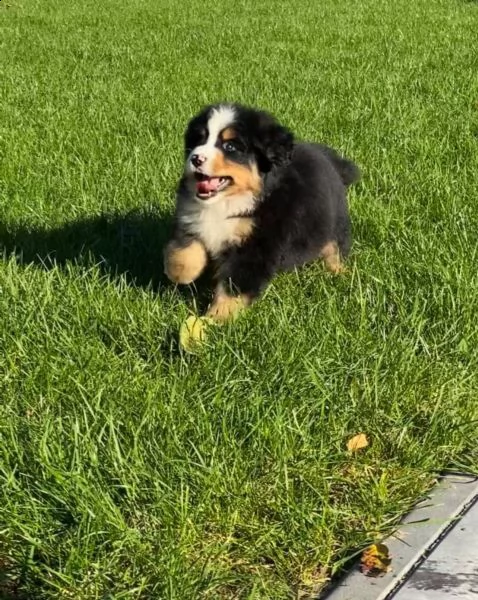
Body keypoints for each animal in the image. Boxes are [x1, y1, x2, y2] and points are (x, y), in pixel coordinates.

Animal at [163, 103, 358, 322]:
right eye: (199, 140)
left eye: (230, 147)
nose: (196, 158)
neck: (227, 203)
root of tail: (331, 160)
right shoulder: (191, 218)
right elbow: (184, 250)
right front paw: (180, 273)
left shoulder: (256, 246)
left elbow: (234, 285)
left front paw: (217, 318)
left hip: (334, 224)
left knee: (335, 248)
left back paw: (339, 274)